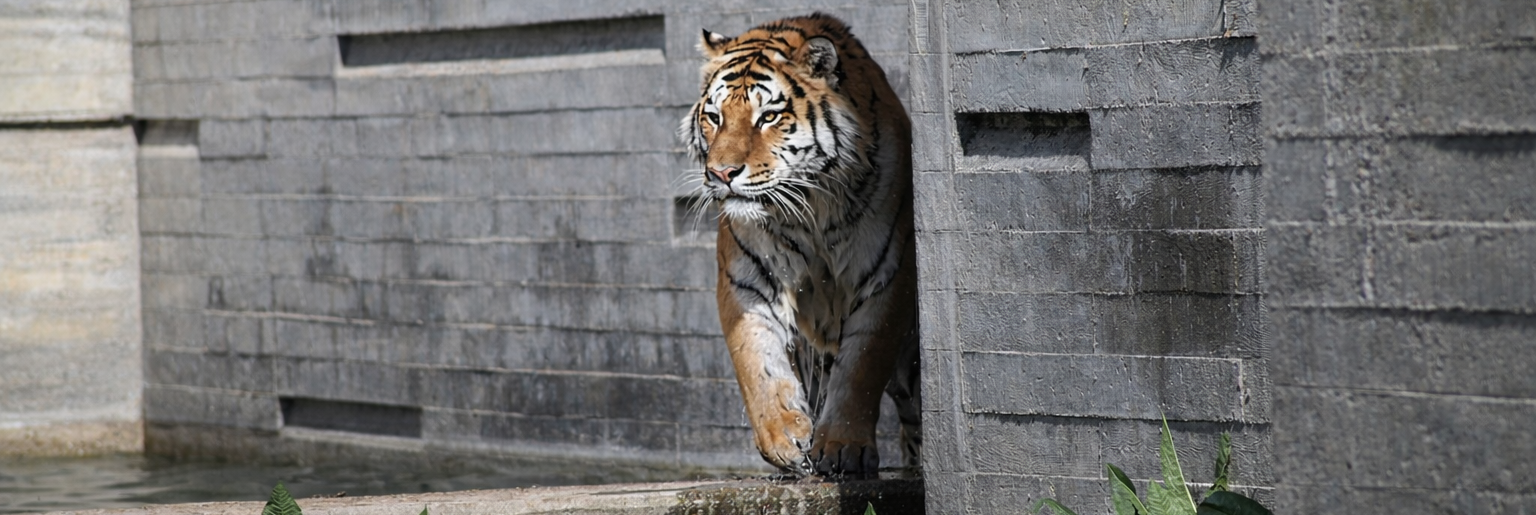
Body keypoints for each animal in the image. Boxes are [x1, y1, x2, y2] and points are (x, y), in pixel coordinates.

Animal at [678, 13, 920, 477]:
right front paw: (784, 438)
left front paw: (843, 446)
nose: (721, 173)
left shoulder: (887, 276)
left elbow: (862, 364)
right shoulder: (747, 280)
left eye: (769, 116)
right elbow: (757, 361)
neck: (810, 210)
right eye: (714, 117)